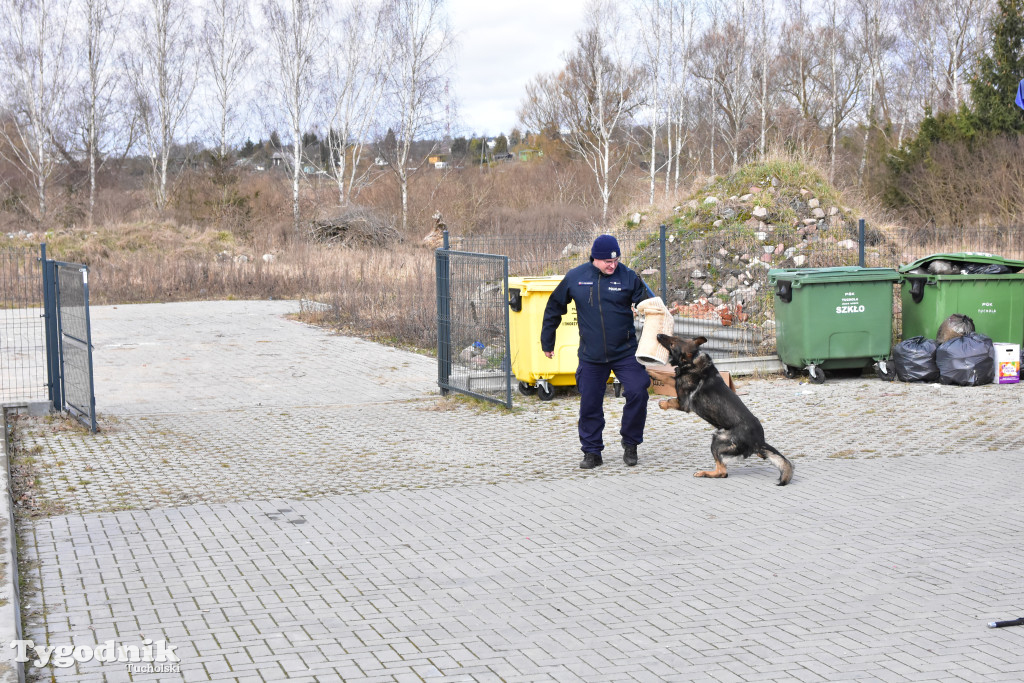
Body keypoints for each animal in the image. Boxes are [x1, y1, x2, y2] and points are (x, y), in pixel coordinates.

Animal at [655, 335, 790, 485]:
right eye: (675, 337)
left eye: (673, 343)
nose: (658, 335)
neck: (692, 360)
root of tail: (758, 442)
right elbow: (664, 380)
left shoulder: (683, 403)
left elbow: (669, 396)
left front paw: (662, 403)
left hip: (717, 440)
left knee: (722, 472)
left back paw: (704, 473)